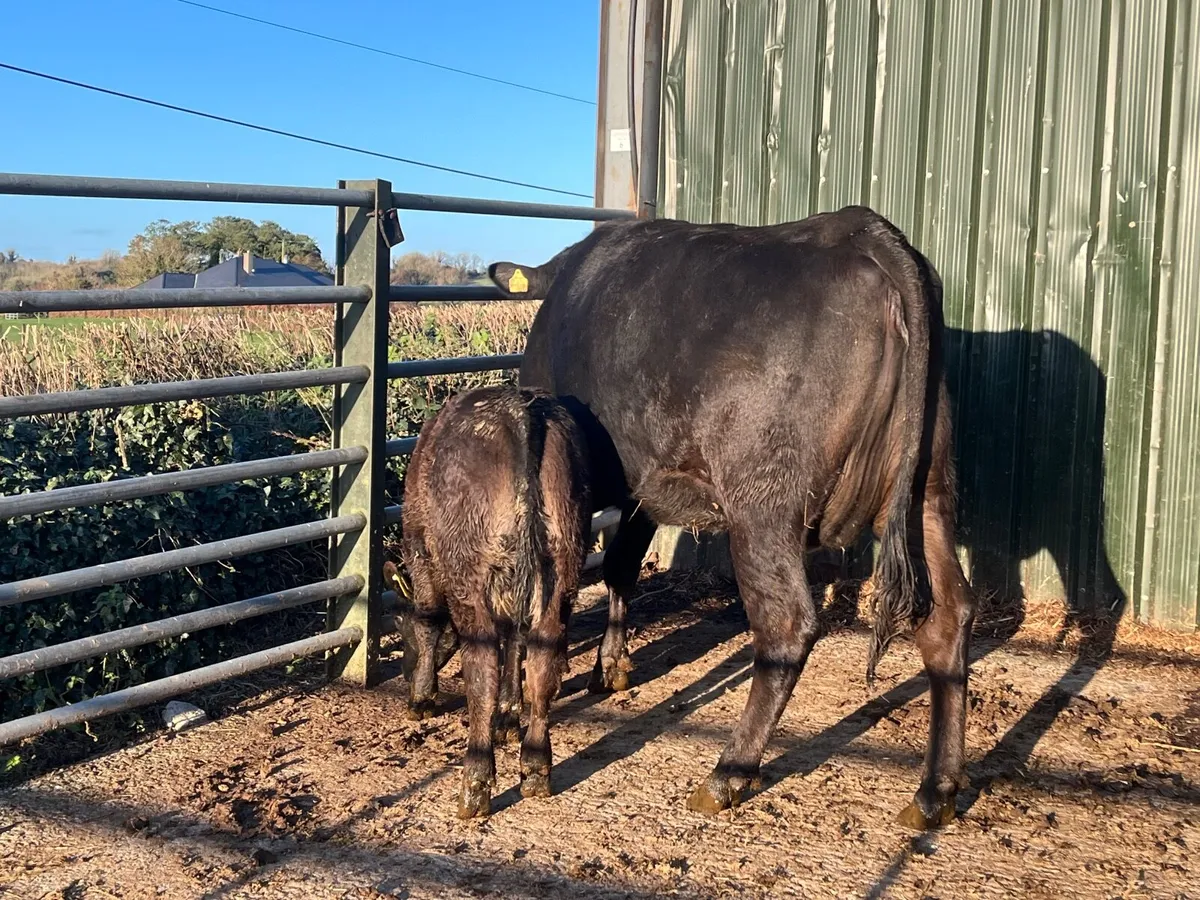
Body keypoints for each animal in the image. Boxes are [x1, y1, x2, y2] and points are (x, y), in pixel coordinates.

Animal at [386, 384, 592, 818]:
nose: (406, 673)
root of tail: (521, 409)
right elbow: (514, 643)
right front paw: (509, 717)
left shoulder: (422, 552)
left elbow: (429, 622)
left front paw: (421, 696)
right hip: (562, 566)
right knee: (542, 657)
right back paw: (535, 765)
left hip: (470, 578)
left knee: (481, 670)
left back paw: (475, 781)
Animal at [486, 205, 975, 830]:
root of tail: (865, 232)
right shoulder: (649, 482)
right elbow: (621, 565)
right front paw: (610, 666)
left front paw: (511, 707)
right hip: (926, 494)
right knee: (948, 617)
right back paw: (936, 790)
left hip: (764, 505)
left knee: (788, 625)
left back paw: (729, 771)